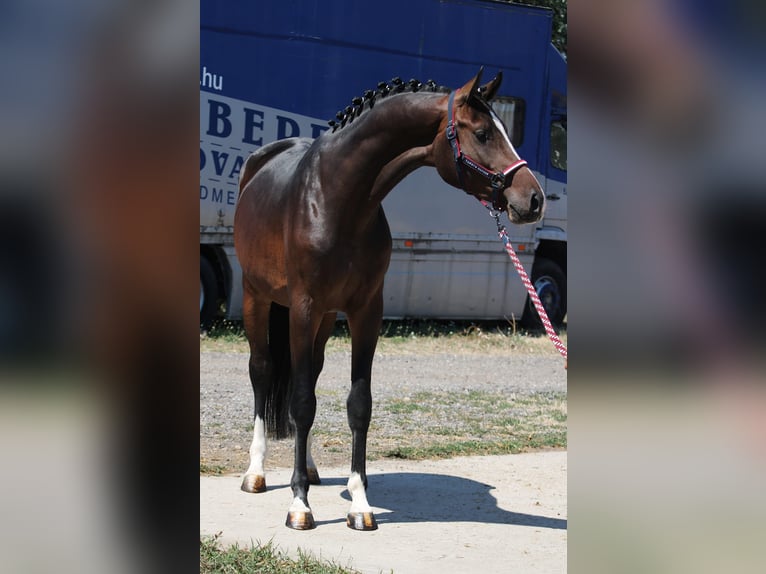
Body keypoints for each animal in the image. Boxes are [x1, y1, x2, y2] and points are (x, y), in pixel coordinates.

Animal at [233, 68, 545, 530]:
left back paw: (309, 467)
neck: (338, 200)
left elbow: (357, 404)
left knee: (311, 374)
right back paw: (256, 472)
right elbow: (301, 402)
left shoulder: (366, 311)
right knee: (264, 370)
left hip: (325, 317)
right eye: (483, 133)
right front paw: (300, 506)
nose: (534, 199)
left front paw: (360, 505)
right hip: (258, 298)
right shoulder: (303, 307)